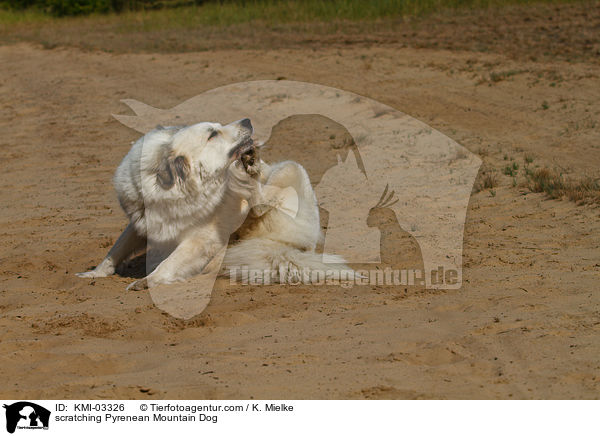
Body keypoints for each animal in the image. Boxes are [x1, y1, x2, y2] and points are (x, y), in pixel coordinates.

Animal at [77, 119, 354, 290]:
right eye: (212, 133)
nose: (247, 120)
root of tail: (283, 248)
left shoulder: (201, 239)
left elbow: (171, 262)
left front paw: (147, 281)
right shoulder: (138, 223)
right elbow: (115, 250)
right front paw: (94, 274)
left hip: (291, 169)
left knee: (262, 200)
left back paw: (250, 171)